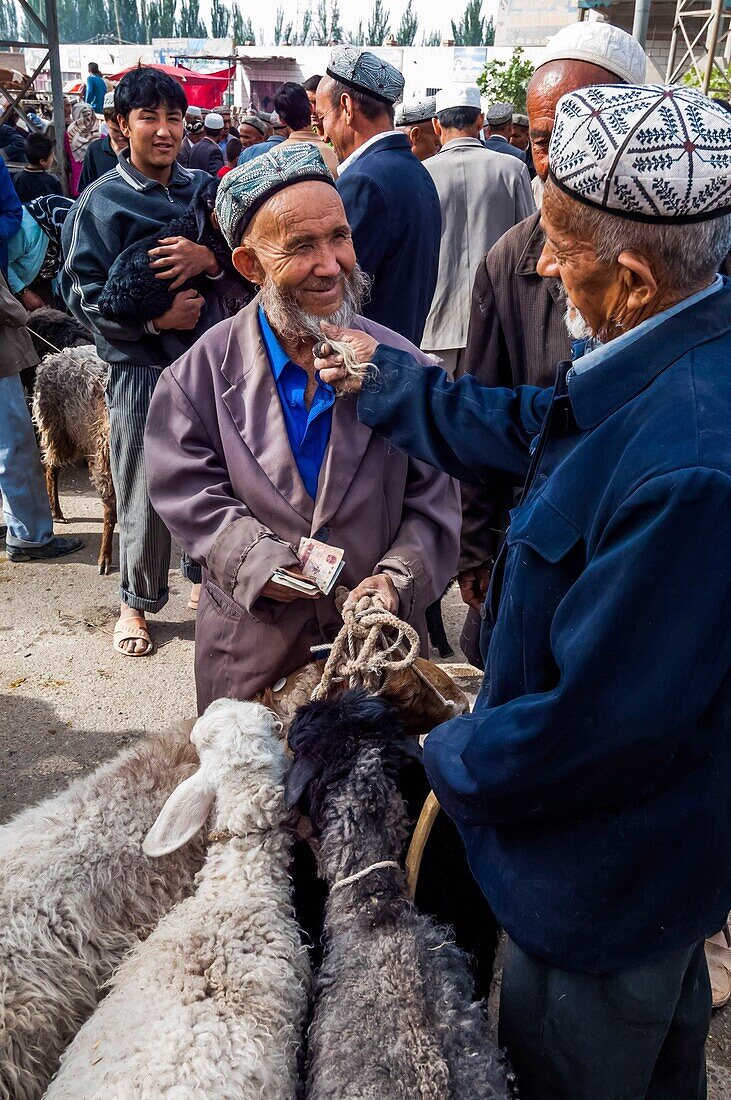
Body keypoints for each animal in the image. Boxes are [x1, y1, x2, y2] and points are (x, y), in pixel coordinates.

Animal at [32, 345, 115, 576]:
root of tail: (53, 357)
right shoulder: (106, 460)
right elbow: (110, 511)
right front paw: (104, 558)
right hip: (58, 431)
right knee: (51, 467)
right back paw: (56, 511)